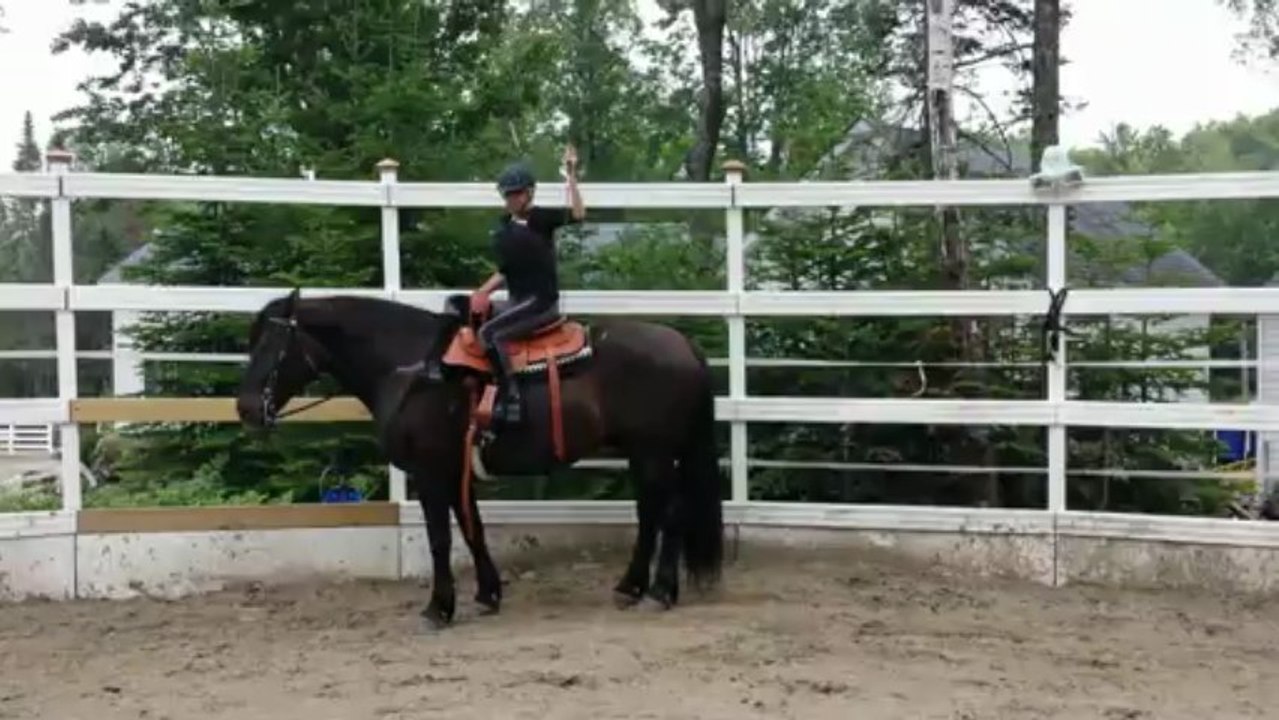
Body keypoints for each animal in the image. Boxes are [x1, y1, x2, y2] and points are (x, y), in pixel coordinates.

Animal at [234, 288, 724, 628]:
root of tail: (683, 344)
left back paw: (657, 592)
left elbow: (440, 539)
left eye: (273, 345)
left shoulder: (429, 472)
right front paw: (488, 594)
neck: (416, 367)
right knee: (654, 513)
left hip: (654, 452)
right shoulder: (455, 471)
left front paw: (438, 608)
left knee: (668, 514)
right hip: (648, 455)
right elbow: (473, 532)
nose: (246, 408)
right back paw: (635, 588)